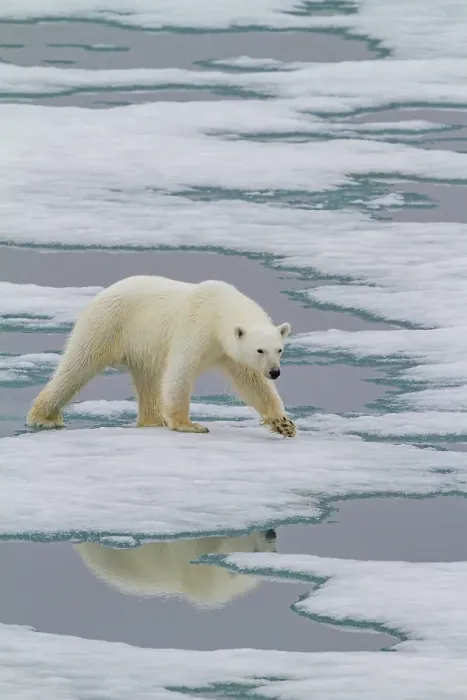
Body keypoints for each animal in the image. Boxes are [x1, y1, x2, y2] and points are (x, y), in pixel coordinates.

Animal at [26, 275, 296, 438]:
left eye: (279, 349)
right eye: (260, 350)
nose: (275, 371)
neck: (219, 311)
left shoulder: (228, 351)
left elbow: (252, 382)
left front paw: (284, 424)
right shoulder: (196, 328)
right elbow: (180, 372)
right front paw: (189, 425)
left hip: (141, 347)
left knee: (148, 380)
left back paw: (152, 420)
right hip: (107, 325)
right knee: (77, 367)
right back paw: (45, 418)